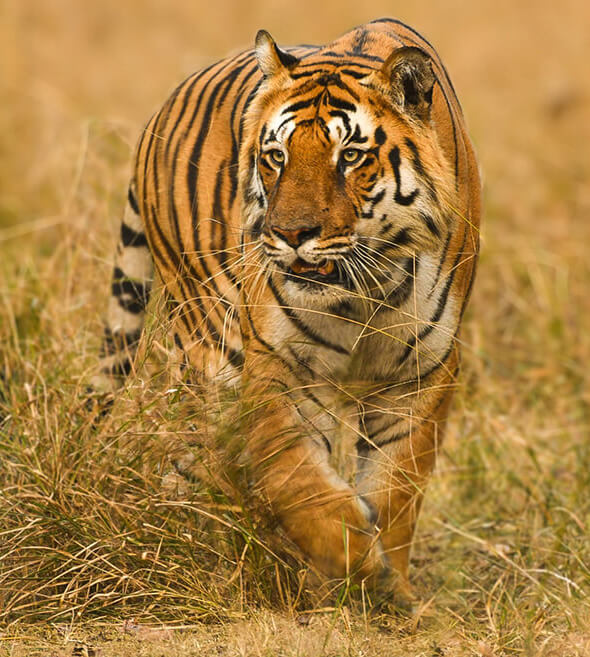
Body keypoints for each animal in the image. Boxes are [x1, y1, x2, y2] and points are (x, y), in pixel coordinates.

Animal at [98, 16, 480, 600]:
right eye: (276, 156)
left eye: (351, 157)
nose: (290, 234)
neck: (367, 291)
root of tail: (157, 115)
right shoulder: (281, 363)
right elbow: (295, 478)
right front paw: (352, 564)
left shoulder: (423, 372)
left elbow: (397, 488)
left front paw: (391, 590)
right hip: (211, 344)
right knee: (208, 455)